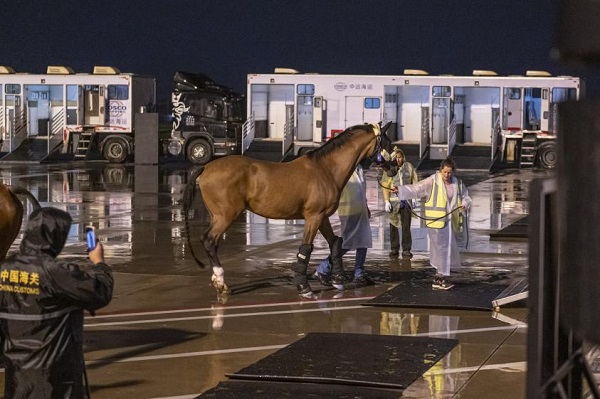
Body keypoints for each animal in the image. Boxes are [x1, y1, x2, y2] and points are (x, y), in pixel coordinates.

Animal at [183, 122, 394, 300]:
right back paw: (220, 282)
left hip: (217, 216)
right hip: (225, 216)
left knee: (213, 243)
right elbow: (305, 249)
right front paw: (304, 287)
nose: (394, 167)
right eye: (388, 143)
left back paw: (220, 282)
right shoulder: (314, 217)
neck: (326, 169)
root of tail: (205, 167)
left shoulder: (322, 217)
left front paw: (336, 279)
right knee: (209, 241)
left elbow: (335, 242)